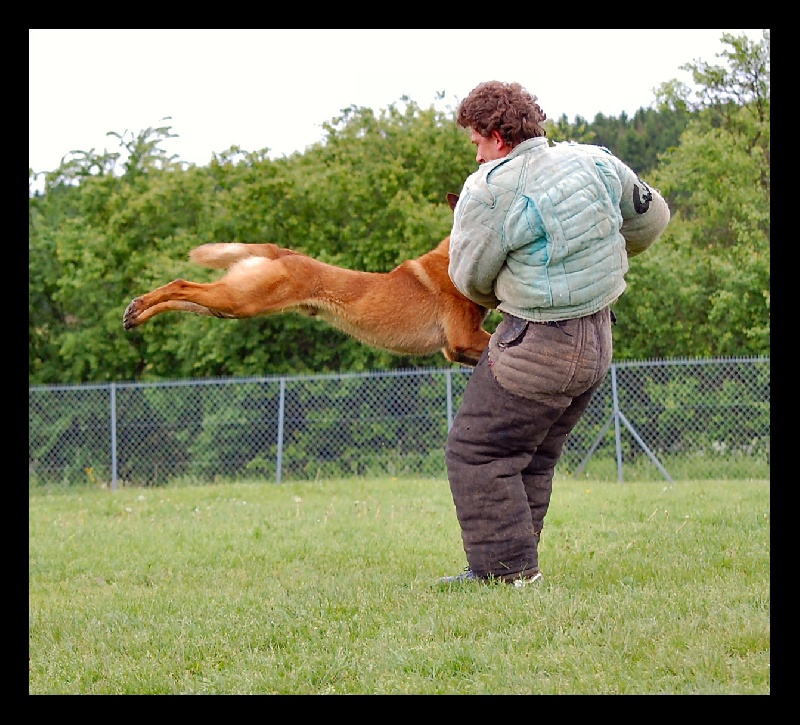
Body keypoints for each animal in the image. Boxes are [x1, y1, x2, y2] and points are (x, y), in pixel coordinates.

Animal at [122, 192, 490, 364]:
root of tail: (280, 252)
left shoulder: (454, 350)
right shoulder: (464, 338)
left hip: (229, 304)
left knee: (183, 296)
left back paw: (136, 313)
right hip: (242, 300)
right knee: (181, 284)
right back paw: (138, 307)